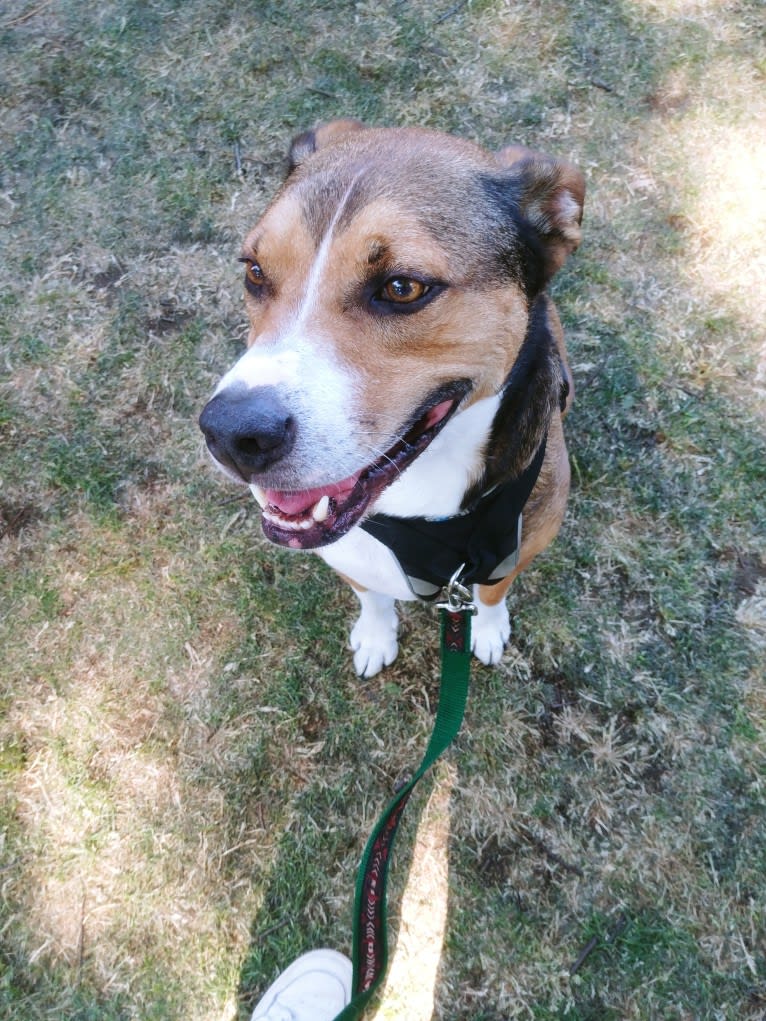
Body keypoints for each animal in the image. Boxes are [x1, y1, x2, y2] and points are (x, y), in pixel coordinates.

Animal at [199, 119, 588, 677]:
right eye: (254, 270)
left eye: (403, 287)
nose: (231, 435)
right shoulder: (351, 556)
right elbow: (373, 597)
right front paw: (375, 636)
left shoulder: (514, 553)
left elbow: (492, 593)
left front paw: (489, 631)